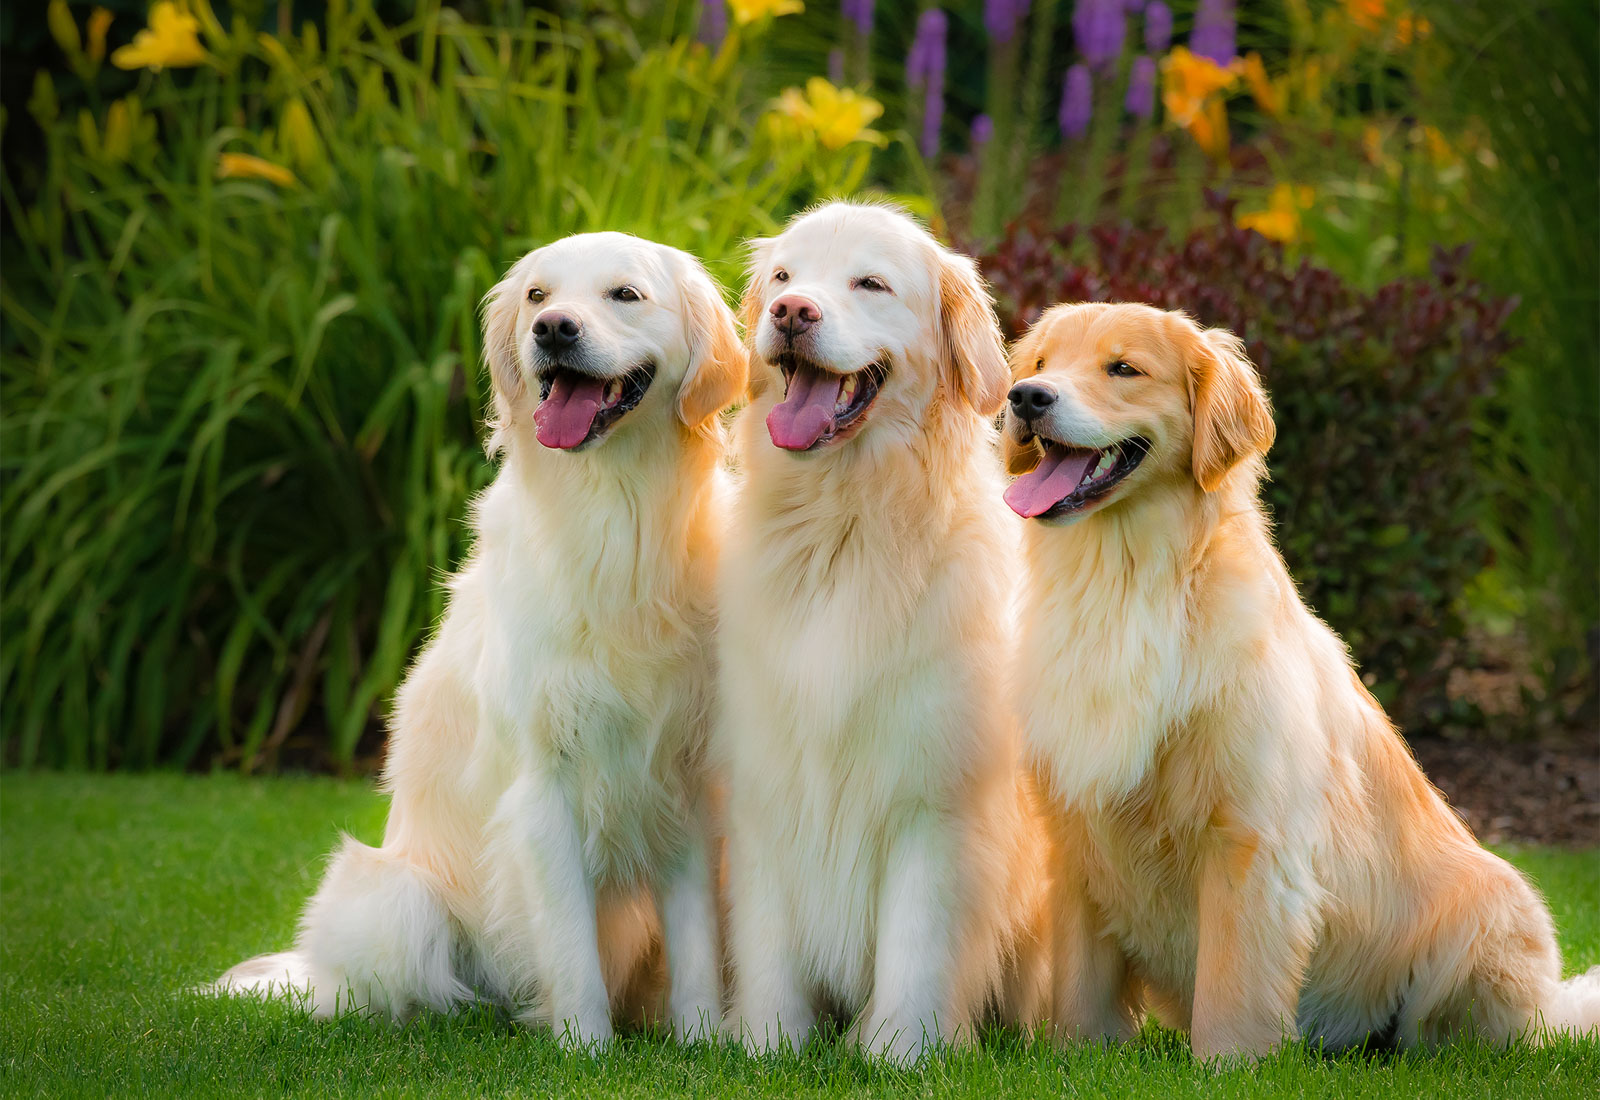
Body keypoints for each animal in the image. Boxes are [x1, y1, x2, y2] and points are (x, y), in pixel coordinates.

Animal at [211, 233, 748, 1048]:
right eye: (537, 295)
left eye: (624, 294)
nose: (553, 330)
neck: (616, 520)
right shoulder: (543, 786)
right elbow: (571, 946)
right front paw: (587, 1049)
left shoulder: (680, 777)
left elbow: (694, 940)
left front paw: (702, 1042)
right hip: (398, 899)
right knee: (396, 994)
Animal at [716, 202, 1049, 1061]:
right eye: (784, 276)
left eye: (870, 283)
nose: (790, 313)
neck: (846, 527)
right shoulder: (764, 782)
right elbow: (769, 939)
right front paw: (767, 1041)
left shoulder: (932, 795)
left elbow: (917, 940)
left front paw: (902, 1049)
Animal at [998, 300, 1600, 1055]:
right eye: (1041, 363)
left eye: (1123, 368)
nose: (1025, 399)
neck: (1126, 581)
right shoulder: (1076, 829)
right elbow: (1081, 988)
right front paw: (1080, 1055)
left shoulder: (1249, 833)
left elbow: (1232, 987)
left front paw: (1227, 1063)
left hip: (1490, 906)